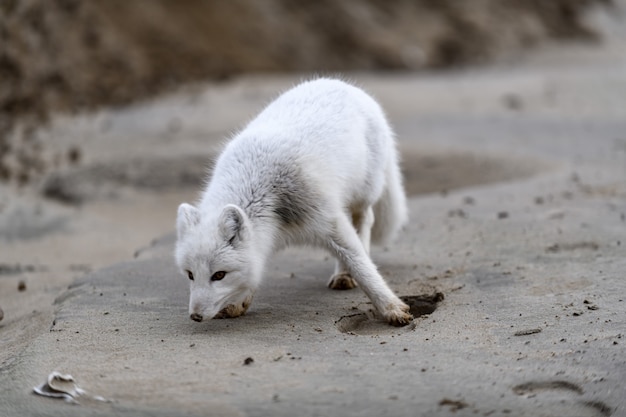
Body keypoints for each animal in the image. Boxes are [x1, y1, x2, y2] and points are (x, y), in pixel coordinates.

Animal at [173, 78, 412, 324]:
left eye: (219, 275)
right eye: (190, 274)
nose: (195, 316)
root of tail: (344, 84)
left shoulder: (327, 218)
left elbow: (362, 266)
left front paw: (390, 307)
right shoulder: (265, 240)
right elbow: (254, 266)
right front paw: (239, 302)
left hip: (363, 193)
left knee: (365, 220)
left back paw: (345, 272)